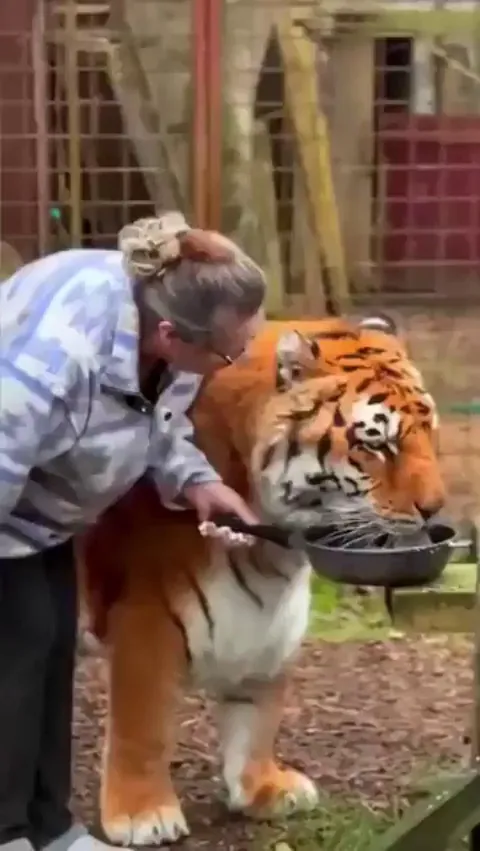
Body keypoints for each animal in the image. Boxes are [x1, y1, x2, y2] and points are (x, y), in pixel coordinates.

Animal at [80, 313, 446, 847]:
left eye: (428, 431)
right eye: (377, 442)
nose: (437, 512)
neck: (271, 552)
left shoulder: (271, 623)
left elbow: (258, 715)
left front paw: (261, 789)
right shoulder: (144, 618)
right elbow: (142, 725)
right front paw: (142, 815)